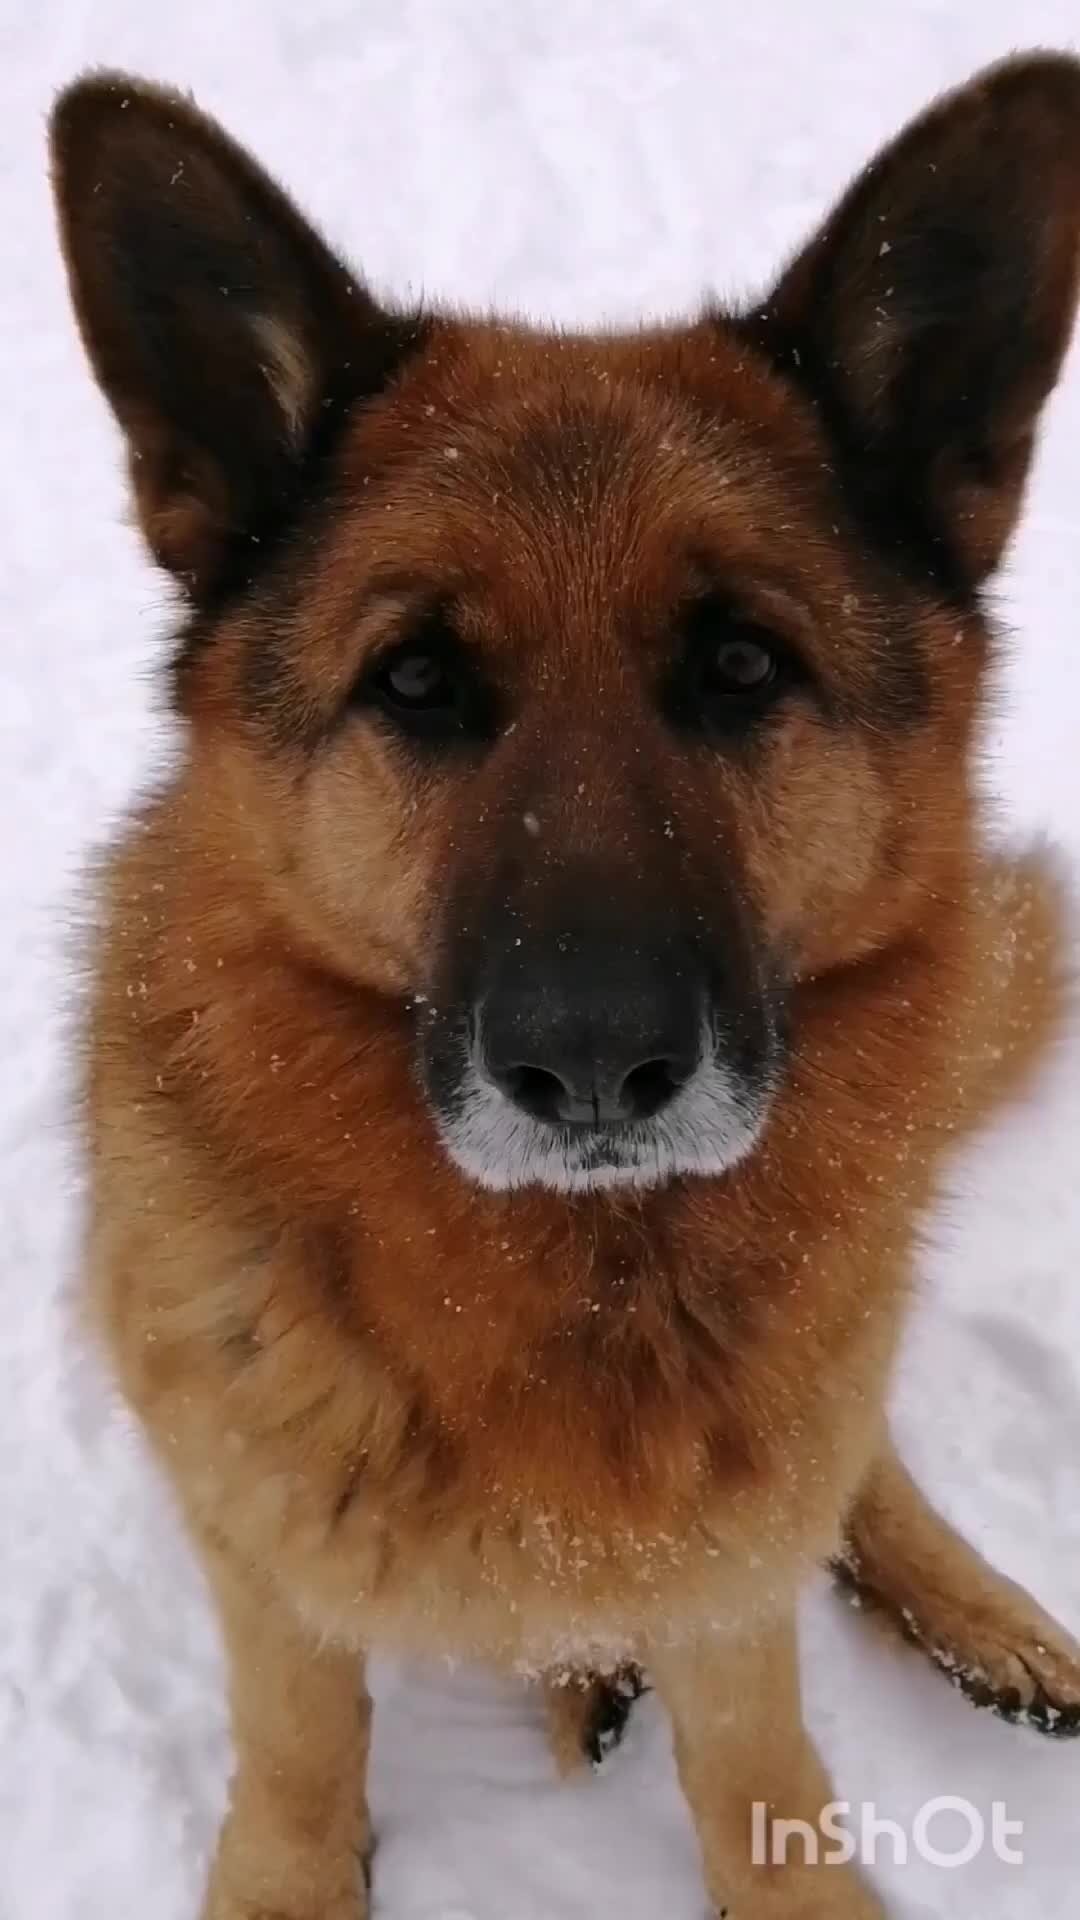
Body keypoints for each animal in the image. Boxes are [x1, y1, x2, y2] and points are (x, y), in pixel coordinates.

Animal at [52, 52, 1080, 1920]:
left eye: (741, 662)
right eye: (418, 682)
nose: (595, 1067)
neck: (572, 1291)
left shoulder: (740, 1585)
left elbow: (759, 1761)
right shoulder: (262, 1559)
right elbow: (300, 1745)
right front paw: (295, 1868)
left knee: (860, 1465)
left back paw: (973, 1612)